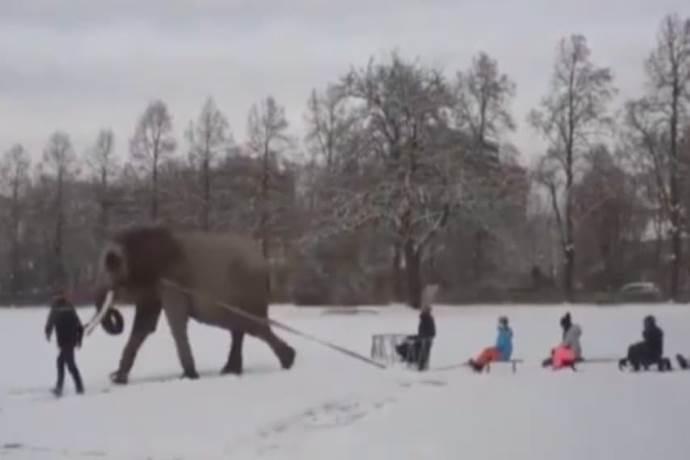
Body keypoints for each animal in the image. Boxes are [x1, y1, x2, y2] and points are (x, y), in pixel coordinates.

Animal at [84, 225, 294, 382]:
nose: (114, 311)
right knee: (241, 328)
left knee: (253, 326)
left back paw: (288, 360)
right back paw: (232, 370)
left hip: (248, 287)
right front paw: (118, 379)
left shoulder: (171, 281)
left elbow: (175, 321)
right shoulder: (155, 286)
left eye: (109, 265)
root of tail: (265, 263)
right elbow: (145, 325)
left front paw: (189, 376)